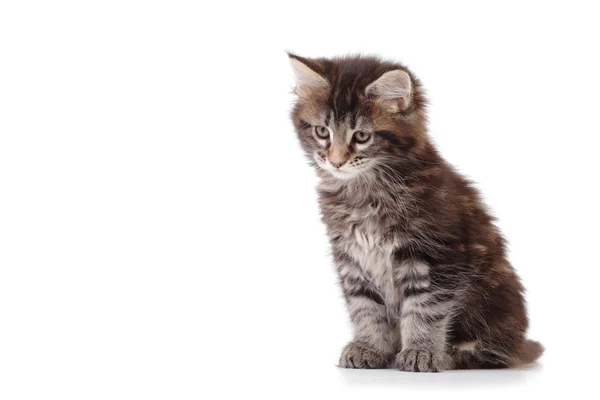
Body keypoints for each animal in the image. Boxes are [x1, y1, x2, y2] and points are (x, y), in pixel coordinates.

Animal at [288, 54, 544, 372]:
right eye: (322, 131)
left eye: (362, 136)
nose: (336, 162)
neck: (365, 191)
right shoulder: (352, 258)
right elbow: (365, 308)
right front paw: (368, 347)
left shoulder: (436, 256)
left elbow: (425, 309)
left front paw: (422, 352)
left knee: (493, 353)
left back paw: (454, 355)